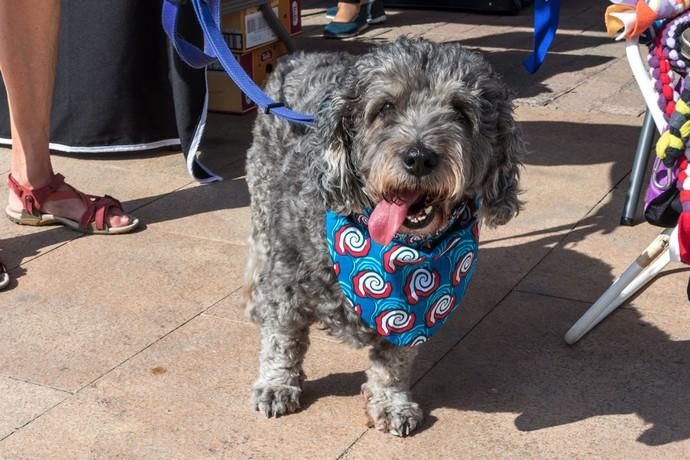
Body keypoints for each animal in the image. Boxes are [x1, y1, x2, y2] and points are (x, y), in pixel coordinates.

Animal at [245, 36, 524, 438]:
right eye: (385, 107)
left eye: (460, 111)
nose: (419, 158)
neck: (395, 249)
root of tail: (303, 55)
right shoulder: (288, 278)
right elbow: (281, 337)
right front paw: (277, 384)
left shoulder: (410, 315)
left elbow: (394, 360)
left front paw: (391, 403)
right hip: (263, 195)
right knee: (258, 252)